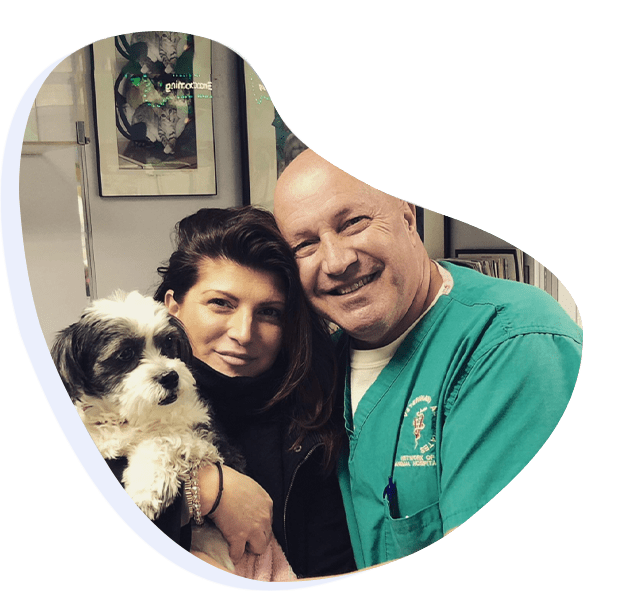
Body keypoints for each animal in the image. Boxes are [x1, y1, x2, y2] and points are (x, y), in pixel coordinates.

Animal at [50, 294, 234, 572]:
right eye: (125, 353)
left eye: (168, 343)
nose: (170, 376)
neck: (129, 417)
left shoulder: (206, 442)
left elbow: (162, 439)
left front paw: (146, 489)